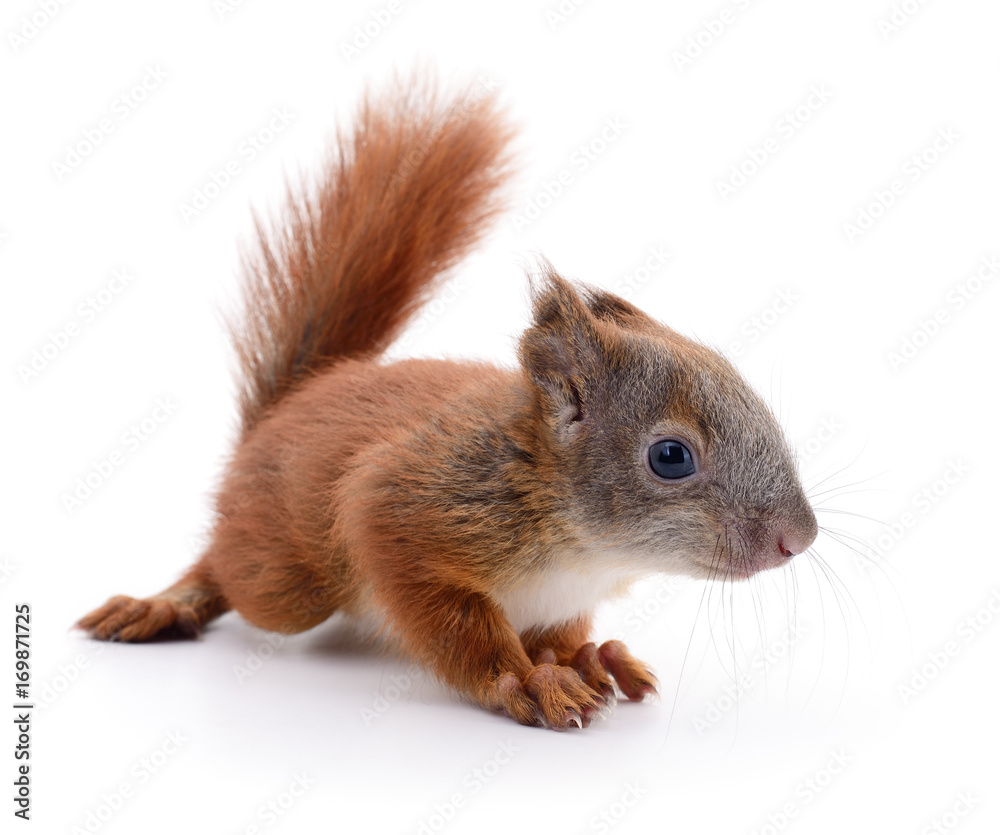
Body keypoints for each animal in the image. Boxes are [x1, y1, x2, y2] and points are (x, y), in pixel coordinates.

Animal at [77, 75, 818, 730]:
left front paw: (591, 657)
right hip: (288, 581)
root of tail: (290, 404)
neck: (584, 545)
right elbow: (455, 622)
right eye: (670, 456)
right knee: (232, 571)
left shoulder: (563, 599)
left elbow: (565, 635)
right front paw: (523, 681)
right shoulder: (408, 510)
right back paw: (165, 603)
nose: (799, 539)